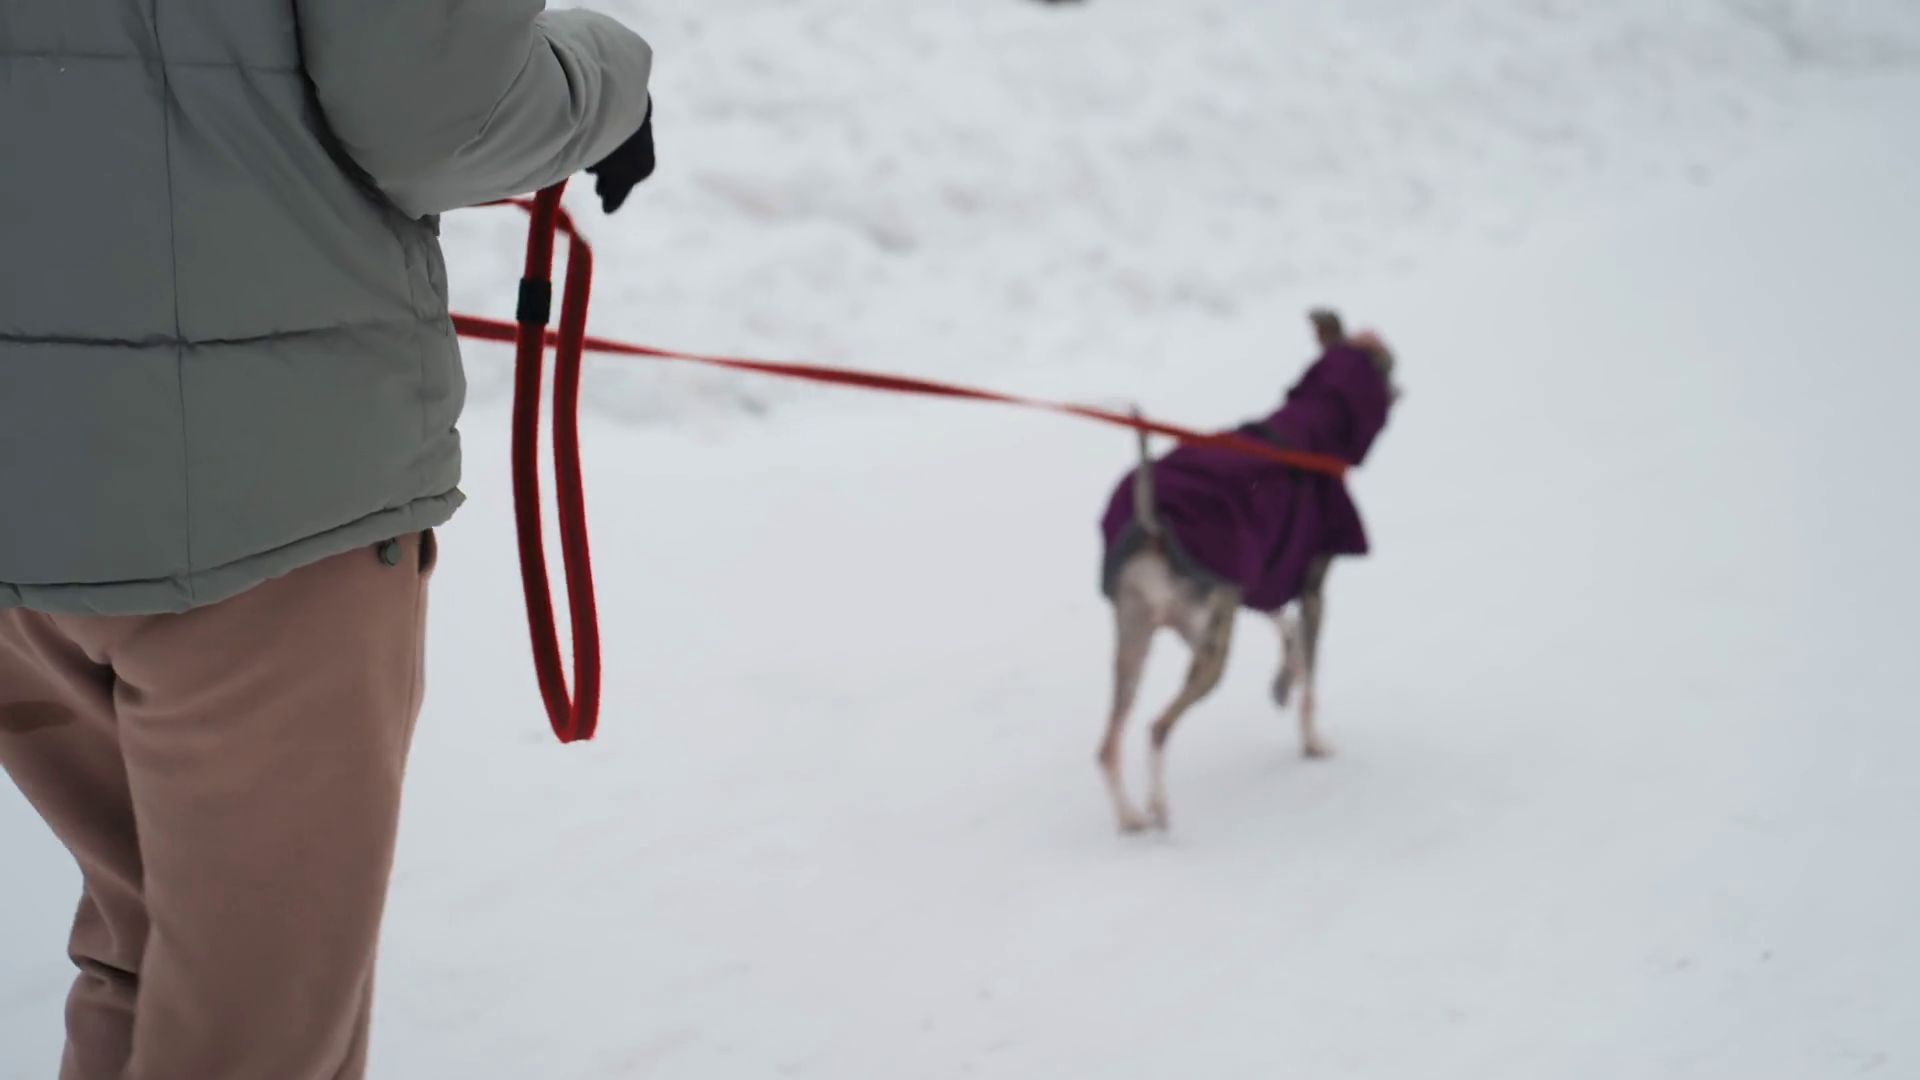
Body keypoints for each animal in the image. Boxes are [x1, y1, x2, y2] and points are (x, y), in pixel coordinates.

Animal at [1094, 309, 1399, 833]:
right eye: (1388, 362)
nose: (1402, 388)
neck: (1310, 429)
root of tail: (1154, 528)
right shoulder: (1310, 587)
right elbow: (1310, 674)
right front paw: (1313, 740)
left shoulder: (1258, 579)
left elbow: (1287, 637)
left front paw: (1281, 684)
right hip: (1209, 647)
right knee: (1156, 729)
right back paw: (1158, 807)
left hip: (1141, 637)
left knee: (1109, 742)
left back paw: (1131, 817)